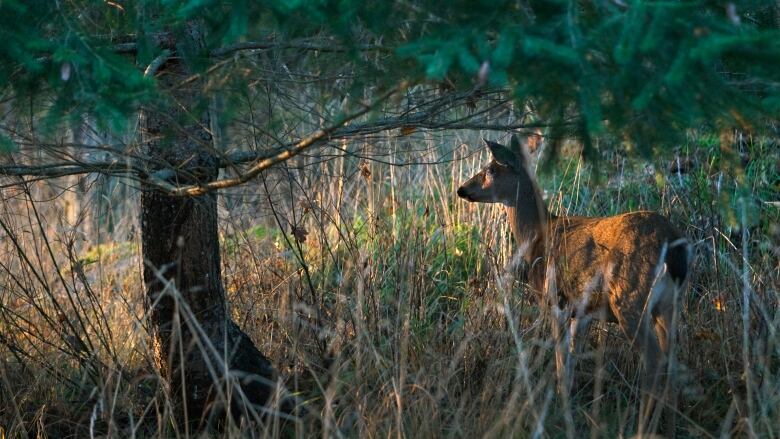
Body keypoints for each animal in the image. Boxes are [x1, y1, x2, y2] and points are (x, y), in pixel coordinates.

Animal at [454, 135, 692, 436]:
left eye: (491, 169)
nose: (462, 189)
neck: (538, 236)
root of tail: (674, 248)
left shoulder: (557, 299)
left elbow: (560, 361)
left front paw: (561, 408)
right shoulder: (584, 310)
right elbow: (572, 358)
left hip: (630, 298)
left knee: (654, 359)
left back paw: (641, 427)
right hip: (670, 303)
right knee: (671, 360)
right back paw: (669, 427)